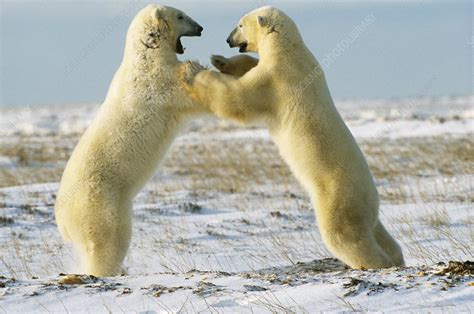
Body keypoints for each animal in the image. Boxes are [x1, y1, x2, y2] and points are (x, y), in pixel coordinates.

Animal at [54, 4, 206, 274]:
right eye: (180, 15)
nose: (200, 28)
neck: (145, 56)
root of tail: (62, 221)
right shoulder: (156, 83)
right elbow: (184, 90)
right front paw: (196, 67)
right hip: (100, 203)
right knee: (108, 241)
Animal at [183, 6, 406, 268]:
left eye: (239, 25)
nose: (228, 40)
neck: (288, 49)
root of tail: (371, 197)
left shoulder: (277, 78)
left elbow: (239, 98)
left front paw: (193, 70)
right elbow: (250, 66)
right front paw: (220, 60)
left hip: (338, 197)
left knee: (343, 235)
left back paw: (378, 263)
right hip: (365, 208)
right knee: (380, 233)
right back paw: (397, 257)